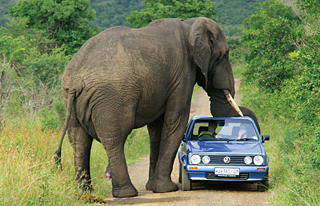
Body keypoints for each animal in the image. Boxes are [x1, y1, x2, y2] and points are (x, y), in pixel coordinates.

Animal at [54, 17, 260, 198]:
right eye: (224, 54)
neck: (190, 25)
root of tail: (76, 82)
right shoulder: (182, 74)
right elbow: (176, 121)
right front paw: (166, 189)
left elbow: (156, 129)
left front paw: (153, 187)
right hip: (111, 98)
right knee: (115, 138)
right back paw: (126, 194)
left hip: (70, 99)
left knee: (79, 141)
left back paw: (84, 193)